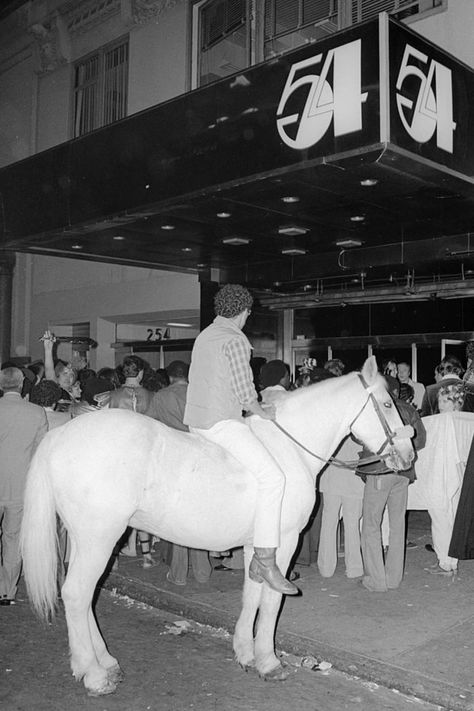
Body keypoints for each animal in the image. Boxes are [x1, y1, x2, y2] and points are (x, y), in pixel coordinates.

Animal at [20, 356, 412, 696]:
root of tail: (62, 435)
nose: (409, 455)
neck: (289, 449)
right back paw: (93, 673)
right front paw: (268, 661)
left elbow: (252, 595)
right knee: (76, 594)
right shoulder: (284, 543)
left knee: (85, 595)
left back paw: (104, 661)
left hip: (87, 539)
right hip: (99, 538)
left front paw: (245, 652)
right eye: (388, 404)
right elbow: (271, 601)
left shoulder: (259, 546)